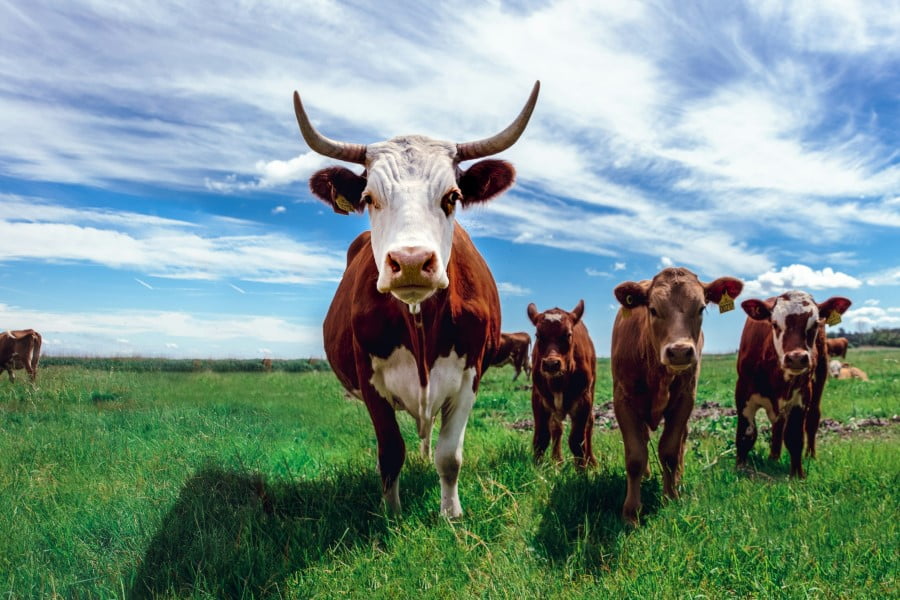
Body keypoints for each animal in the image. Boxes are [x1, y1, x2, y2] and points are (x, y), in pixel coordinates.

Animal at [295, 82, 539, 517]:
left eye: (453, 196)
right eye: (370, 198)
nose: (410, 262)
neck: (420, 322)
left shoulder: (470, 376)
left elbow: (449, 455)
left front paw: (451, 513)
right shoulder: (369, 379)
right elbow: (391, 451)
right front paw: (391, 513)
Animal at [527, 301, 596, 468]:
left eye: (568, 334)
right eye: (538, 335)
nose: (551, 364)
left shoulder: (583, 400)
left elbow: (577, 441)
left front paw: (582, 470)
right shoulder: (538, 398)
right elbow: (541, 438)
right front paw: (538, 468)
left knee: (589, 425)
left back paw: (591, 461)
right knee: (556, 428)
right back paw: (557, 460)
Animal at [611, 268, 744, 524]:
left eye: (701, 308)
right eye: (653, 309)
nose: (680, 351)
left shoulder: (685, 399)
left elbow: (670, 451)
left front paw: (670, 497)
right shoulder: (623, 400)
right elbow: (635, 456)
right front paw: (631, 511)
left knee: (681, 441)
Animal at [735, 291, 852, 478]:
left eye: (814, 324)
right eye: (775, 324)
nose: (796, 357)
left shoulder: (801, 396)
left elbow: (794, 437)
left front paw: (798, 474)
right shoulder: (743, 393)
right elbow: (746, 435)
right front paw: (740, 469)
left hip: (820, 376)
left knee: (812, 418)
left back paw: (810, 455)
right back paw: (773, 457)